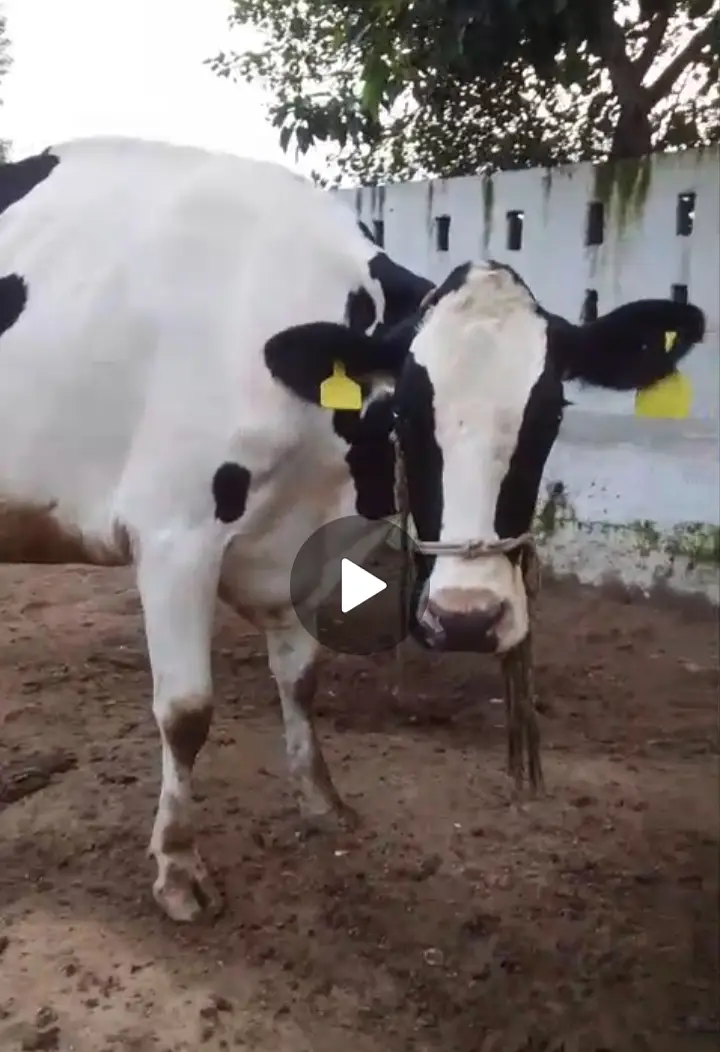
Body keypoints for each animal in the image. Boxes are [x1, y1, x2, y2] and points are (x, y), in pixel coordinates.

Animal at [0, 136, 705, 922]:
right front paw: (179, 870)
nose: (467, 618)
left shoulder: (303, 548)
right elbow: (186, 713)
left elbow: (301, 679)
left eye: (551, 412)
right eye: (406, 411)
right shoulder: (173, 536)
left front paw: (322, 801)